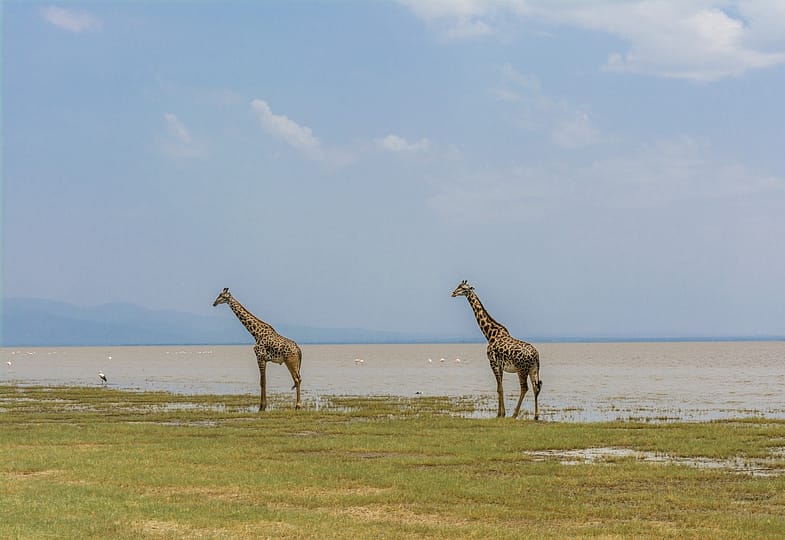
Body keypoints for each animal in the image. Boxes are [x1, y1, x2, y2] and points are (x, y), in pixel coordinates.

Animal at [450, 280, 544, 420]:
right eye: (458, 286)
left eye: (464, 289)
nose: (453, 293)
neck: (490, 334)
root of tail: (536, 355)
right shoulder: (500, 365)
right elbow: (501, 387)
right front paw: (501, 413)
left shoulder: (492, 363)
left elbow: (499, 388)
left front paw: (500, 414)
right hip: (533, 369)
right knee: (535, 387)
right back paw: (536, 416)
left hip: (522, 369)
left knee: (525, 388)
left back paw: (514, 415)